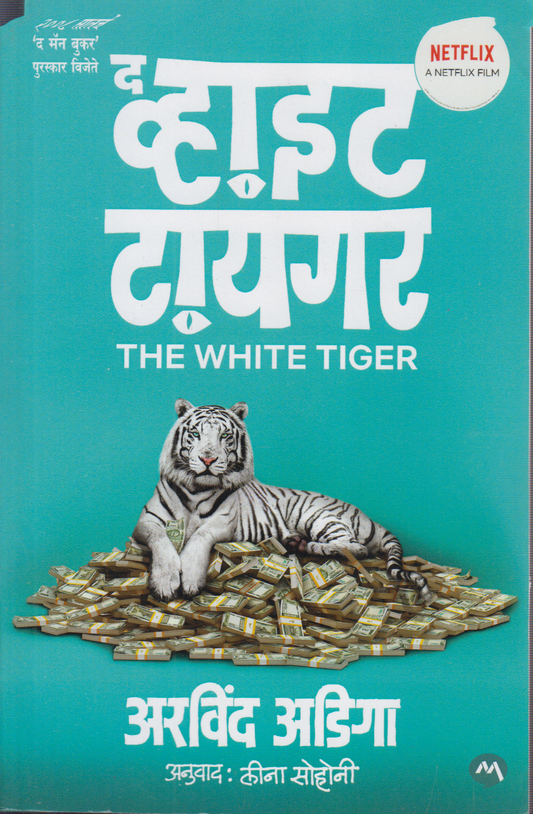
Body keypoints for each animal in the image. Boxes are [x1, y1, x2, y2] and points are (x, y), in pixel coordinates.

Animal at [132, 399, 433, 603]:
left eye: (225, 436)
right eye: (195, 434)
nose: (208, 460)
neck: (197, 488)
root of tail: (370, 519)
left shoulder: (222, 523)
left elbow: (199, 537)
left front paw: (191, 580)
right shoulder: (147, 521)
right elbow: (162, 540)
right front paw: (166, 582)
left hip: (317, 515)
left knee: (355, 548)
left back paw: (304, 545)